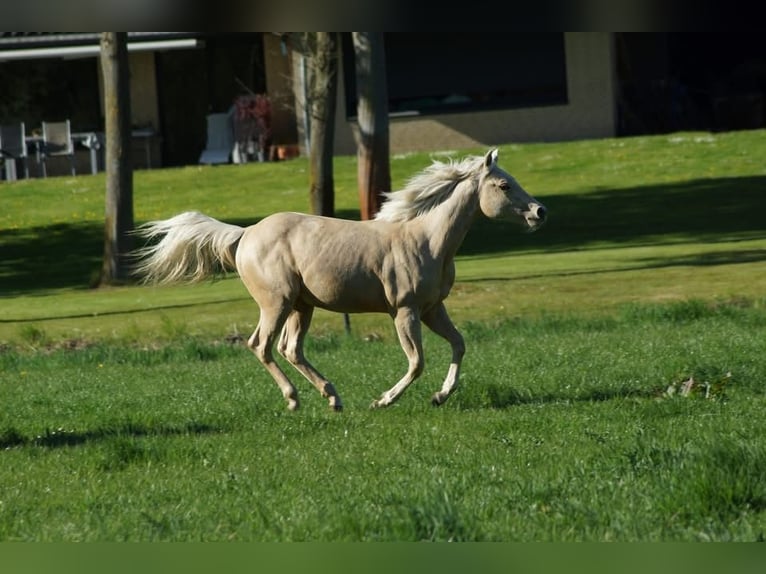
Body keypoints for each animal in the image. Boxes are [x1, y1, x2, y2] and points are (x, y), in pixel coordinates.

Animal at [132, 148, 546, 411]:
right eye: (504, 186)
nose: (540, 212)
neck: (426, 240)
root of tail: (245, 234)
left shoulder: (432, 309)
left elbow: (459, 345)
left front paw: (440, 397)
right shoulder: (405, 311)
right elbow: (416, 362)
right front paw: (382, 401)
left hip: (302, 306)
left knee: (290, 349)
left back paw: (333, 398)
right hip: (277, 302)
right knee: (261, 345)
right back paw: (294, 399)